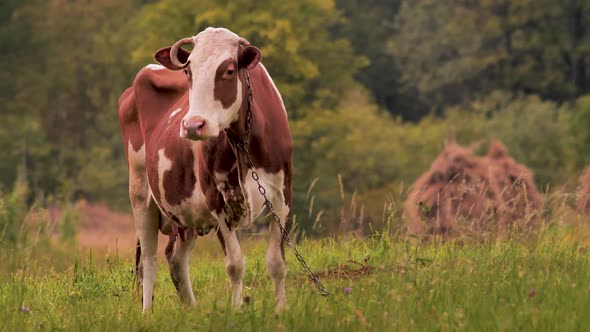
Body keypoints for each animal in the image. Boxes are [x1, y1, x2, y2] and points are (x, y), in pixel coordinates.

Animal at [119, 27, 294, 312]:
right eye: (188, 71)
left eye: (229, 70)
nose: (193, 125)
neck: (244, 144)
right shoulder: (218, 202)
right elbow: (235, 265)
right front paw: (236, 310)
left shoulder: (282, 196)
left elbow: (277, 263)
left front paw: (280, 311)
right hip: (140, 194)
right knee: (148, 261)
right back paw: (147, 314)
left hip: (186, 215)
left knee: (176, 260)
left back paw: (191, 309)